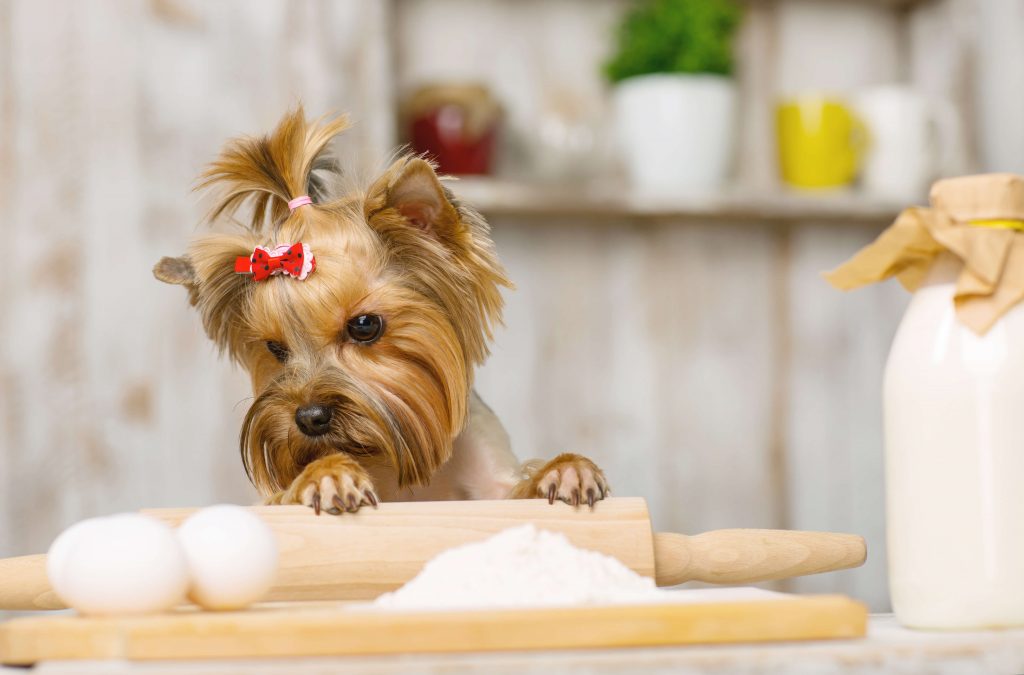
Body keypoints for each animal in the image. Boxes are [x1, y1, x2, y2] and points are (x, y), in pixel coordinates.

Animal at [151, 108, 606, 514]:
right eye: (275, 349)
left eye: (365, 326)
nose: (309, 417)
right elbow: (290, 491)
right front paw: (327, 475)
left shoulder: (489, 475)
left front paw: (565, 469)